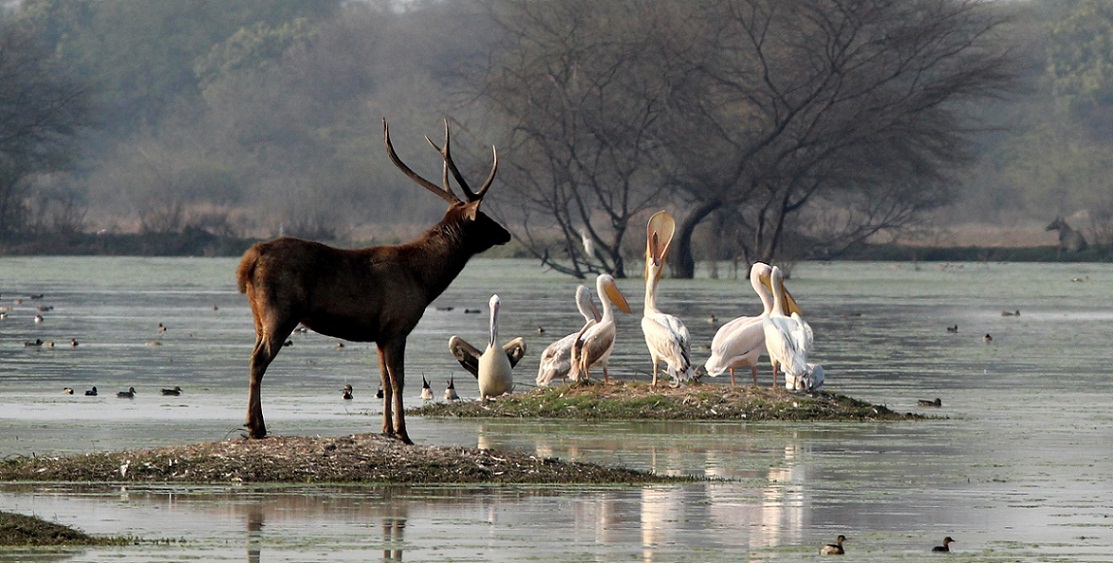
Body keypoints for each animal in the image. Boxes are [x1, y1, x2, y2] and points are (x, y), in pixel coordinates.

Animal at [236, 118, 510, 444]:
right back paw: (255, 427)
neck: (423, 279)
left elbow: (385, 382)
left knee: (253, 355)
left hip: (259, 316)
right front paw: (403, 432)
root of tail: (249, 260)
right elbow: (399, 380)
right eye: (484, 217)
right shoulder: (397, 326)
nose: (506, 233)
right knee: (258, 359)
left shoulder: (379, 334)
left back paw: (257, 424)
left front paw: (386, 428)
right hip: (280, 312)